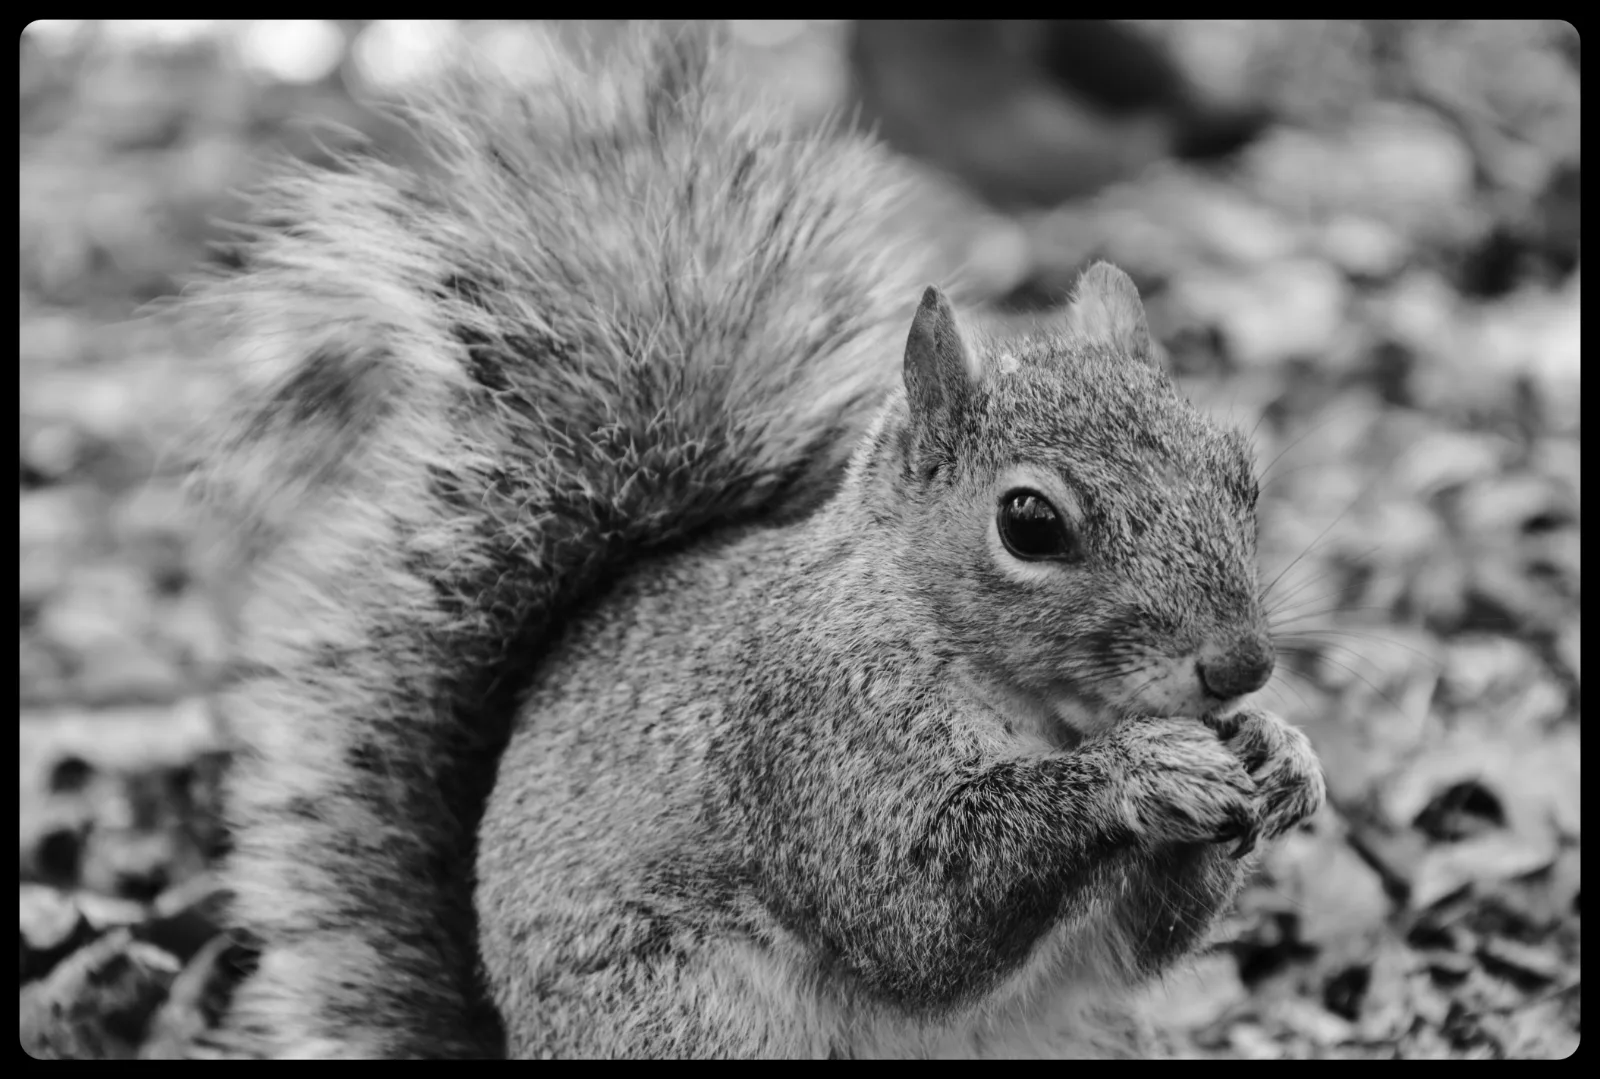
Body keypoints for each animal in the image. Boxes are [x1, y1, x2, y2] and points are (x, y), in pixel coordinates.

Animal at [181, 22, 1324, 1060]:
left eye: (1241, 471)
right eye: (1028, 522)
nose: (1240, 664)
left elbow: (1142, 938)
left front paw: (1280, 751)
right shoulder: (808, 743)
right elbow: (912, 911)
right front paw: (1139, 769)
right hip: (684, 1016)